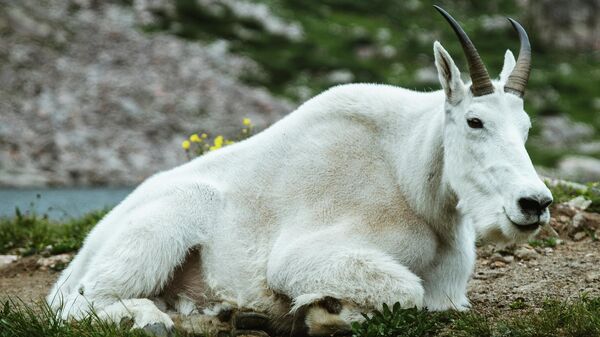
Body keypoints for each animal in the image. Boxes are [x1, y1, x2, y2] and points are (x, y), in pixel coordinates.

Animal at [48, 5, 552, 336]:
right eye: (475, 121)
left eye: (527, 127)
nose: (535, 203)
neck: (409, 178)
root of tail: (84, 252)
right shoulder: (299, 258)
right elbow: (405, 290)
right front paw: (324, 310)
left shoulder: (449, 293)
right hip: (164, 225)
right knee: (82, 302)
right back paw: (154, 320)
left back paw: (223, 314)